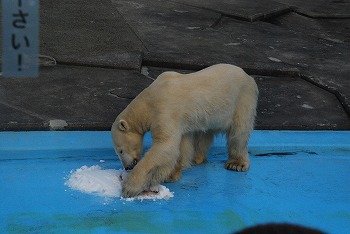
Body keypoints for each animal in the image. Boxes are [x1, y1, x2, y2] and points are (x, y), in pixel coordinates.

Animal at [110, 63, 258, 197]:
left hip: (242, 99)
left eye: (120, 151)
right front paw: (173, 173)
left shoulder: (165, 109)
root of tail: (248, 76)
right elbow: (182, 144)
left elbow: (164, 146)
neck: (150, 99)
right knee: (203, 134)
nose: (127, 167)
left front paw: (129, 187)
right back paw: (197, 158)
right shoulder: (181, 121)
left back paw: (237, 164)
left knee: (239, 133)